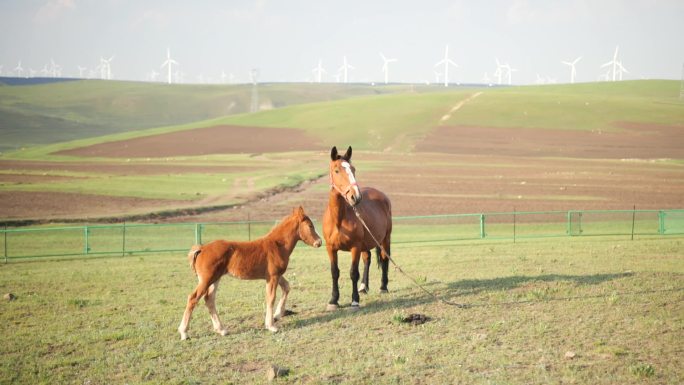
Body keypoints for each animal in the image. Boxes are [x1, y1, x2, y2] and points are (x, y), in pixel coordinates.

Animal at [179, 206, 324, 338]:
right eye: (310, 226)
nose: (319, 242)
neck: (277, 245)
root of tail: (202, 248)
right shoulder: (273, 276)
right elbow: (271, 297)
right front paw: (271, 326)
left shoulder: (276, 275)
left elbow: (286, 287)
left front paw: (276, 316)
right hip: (207, 279)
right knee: (193, 298)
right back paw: (184, 332)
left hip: (215, 279)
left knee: (209, 299)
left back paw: (221, 330)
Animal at [324, 146, 392, 310]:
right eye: (337, 170)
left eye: (353, 169)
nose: (356, 197)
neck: (339, 220)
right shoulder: (331, 248)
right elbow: (334, 272)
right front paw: (333, 300)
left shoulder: (355, 247)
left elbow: (353, 272)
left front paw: (354, 300)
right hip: (366, 243)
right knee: (367, 259)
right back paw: (363, 287)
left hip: (385, 239)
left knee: (384, 258)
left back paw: (383, 287)